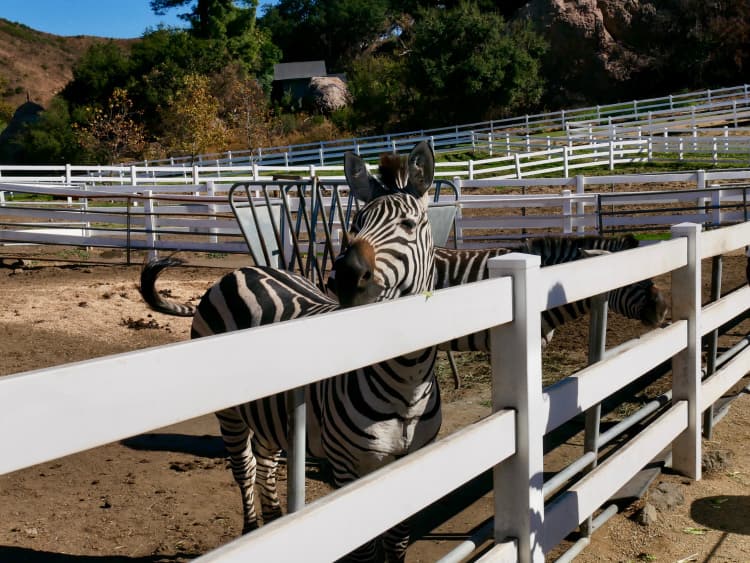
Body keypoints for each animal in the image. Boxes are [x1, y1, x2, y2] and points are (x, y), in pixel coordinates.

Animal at [142, 142, 440, 563]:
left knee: (266, 463)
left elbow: (396, 543)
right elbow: (367, 550)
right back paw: (253, 530)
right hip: (230, 412)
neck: (406, 379)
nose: (345, 275)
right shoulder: (347, 466)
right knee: (245, 467)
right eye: (355, 222)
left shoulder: (411, 460)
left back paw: (275, 524)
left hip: (268, 412)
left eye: (409, 226)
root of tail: (241, 272)